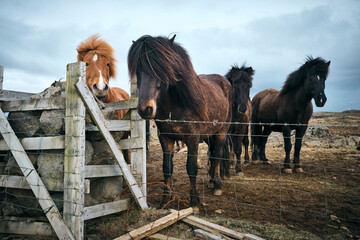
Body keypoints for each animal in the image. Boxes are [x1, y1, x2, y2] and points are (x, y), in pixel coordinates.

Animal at [128, 34, 232, 211]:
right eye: (138, 69)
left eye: (162, 69)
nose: (145, 109)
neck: (176, 107)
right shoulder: (166, 138)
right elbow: (167, 168)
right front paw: (165, 200)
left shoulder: (193, 138)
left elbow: (191, 168)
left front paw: (194, 202)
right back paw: (211, 181)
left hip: (221, 132)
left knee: (217, 155)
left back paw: (217, 185)